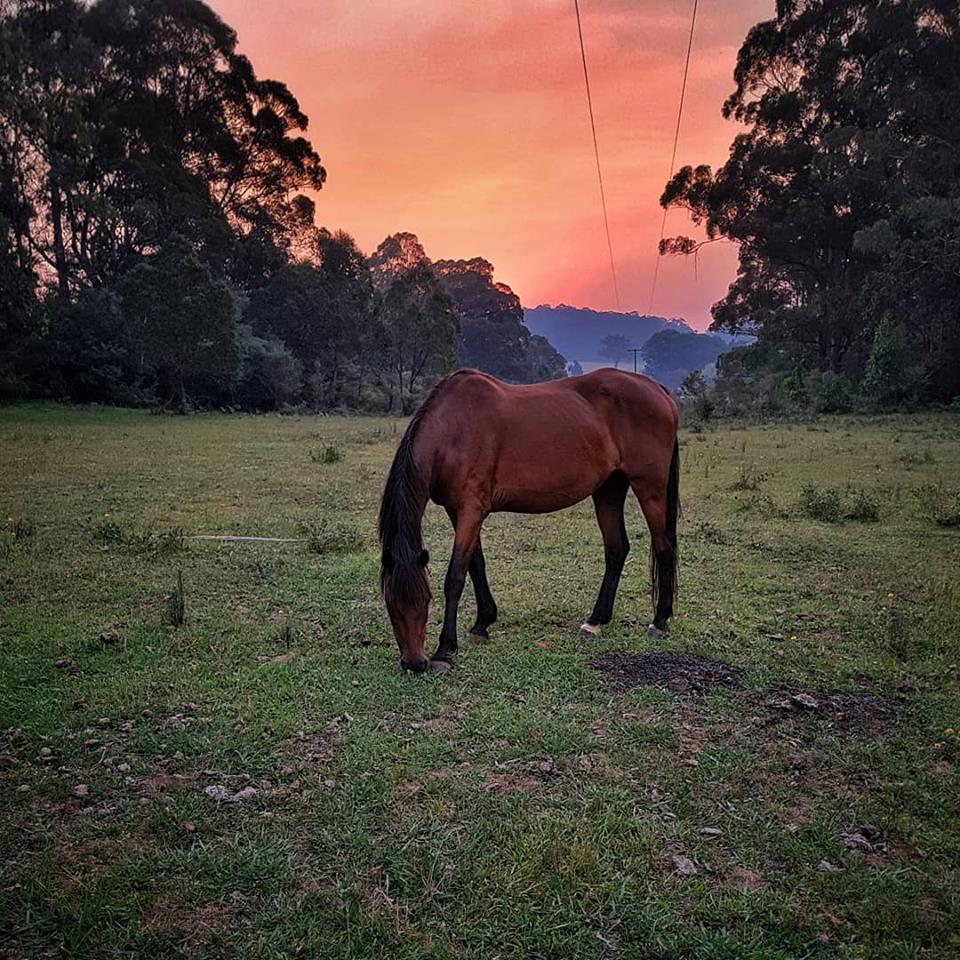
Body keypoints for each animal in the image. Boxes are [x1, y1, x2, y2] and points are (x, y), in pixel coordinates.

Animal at [377, 367, 680, 673]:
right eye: (390, 604)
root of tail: (657, 389)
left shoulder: (471, 509)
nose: (414, 663)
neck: (454, 428)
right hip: (609, 489)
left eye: (425, 601)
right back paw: (596, 620)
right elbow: (476, 565)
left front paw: (445, 649)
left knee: (663, 546)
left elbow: (456, 576)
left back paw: (659, 622)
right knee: (617, 550)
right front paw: (482, 623)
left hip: (649, 488)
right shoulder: (457, 510)